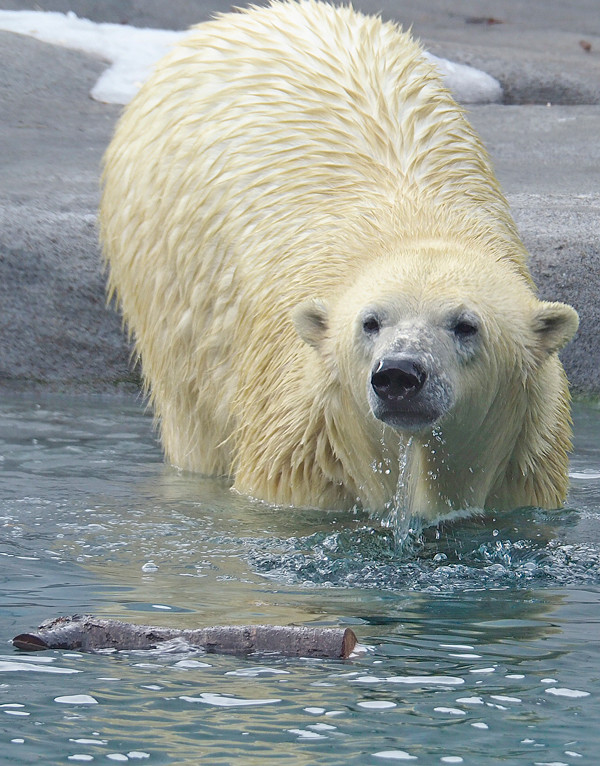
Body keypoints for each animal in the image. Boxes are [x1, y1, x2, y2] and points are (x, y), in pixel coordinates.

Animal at [101, 0, 580, 520]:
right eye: (370, 322)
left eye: (466, 325)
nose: (399, 375)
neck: (417, 222)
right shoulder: (303, 449)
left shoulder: (524, 466)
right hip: (169, 279)